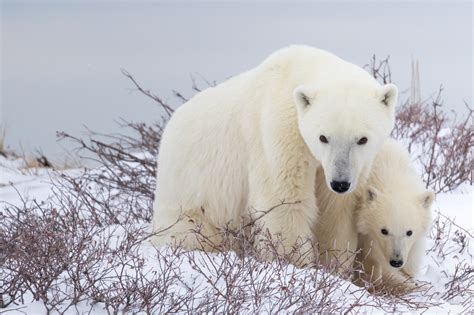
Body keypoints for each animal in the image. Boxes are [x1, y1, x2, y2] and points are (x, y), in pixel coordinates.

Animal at [152, 45, 396, 266]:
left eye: (362, 139)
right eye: (323, 137)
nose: (340, 183)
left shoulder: (349, 168)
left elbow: (335, 210)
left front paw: (334, 264)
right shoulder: (277, 129)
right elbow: (284, 200)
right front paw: (295, 264)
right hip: (189, 202)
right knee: (191, 233)